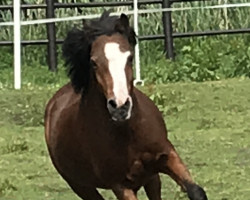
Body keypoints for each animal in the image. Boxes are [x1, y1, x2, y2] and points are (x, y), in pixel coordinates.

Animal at [44, 11, 208, 200]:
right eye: (93, 62)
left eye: (129, 57)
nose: (120, 106)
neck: (128, 132)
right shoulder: (120, 185)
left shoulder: (167, 156)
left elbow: (196, 191)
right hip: (81, 185)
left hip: (150, 177)